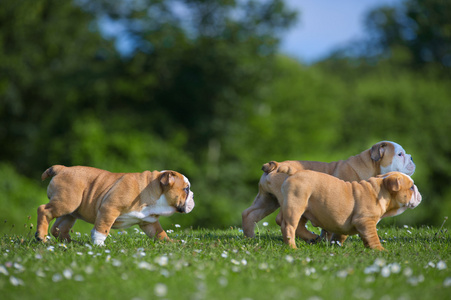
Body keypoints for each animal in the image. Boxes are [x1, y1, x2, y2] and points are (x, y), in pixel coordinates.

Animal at [36, 164, 195, 246]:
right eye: (186, 189)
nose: (193, 195)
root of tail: (62, 168)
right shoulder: (109, 209)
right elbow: (102, 229)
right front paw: (99, 245)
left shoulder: (149, 222)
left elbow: (160, 233)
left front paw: (171, 242)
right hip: (67, 202)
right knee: (44, 210)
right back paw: (41, 237)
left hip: (71, 212)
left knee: (59, 228)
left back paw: (71, 243)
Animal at [280, 171, 422, 251]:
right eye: (411, 188)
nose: (419, 193)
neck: (380, 190)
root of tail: (291, 176)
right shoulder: (366, 221)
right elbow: (373, 237)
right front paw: (380, 250)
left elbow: (341, 236)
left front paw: (336, 246)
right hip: (296, 205)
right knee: (289, 227)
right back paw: (293, 248)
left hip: (304, 209)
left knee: (298, 226)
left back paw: (311, 237)